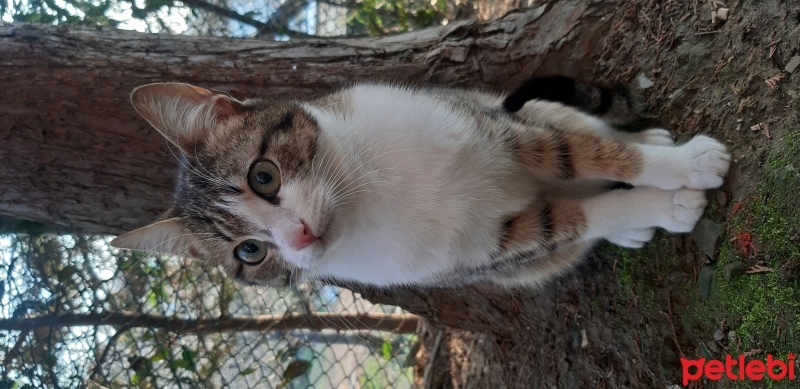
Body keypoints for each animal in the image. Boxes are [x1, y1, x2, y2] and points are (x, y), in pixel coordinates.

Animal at [111, 79, 732, 288]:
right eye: (249, 252)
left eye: (263, 176)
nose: (301, 237)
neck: (369, 196)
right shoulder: (484, 254)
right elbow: (568, 221)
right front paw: (658, 207)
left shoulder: (497, 128)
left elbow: (580, 152)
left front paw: (683, 164)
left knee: (583, 129)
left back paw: (650, 139)